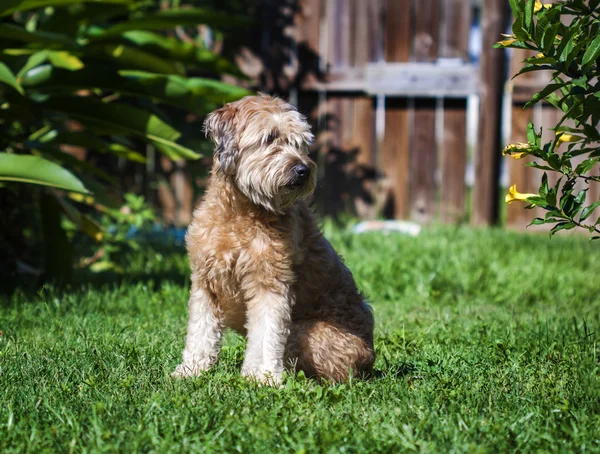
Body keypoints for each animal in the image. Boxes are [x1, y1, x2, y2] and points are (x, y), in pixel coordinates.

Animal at [171, 94, 372, 384]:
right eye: (270, 138)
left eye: (300, 143)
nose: (303, 169)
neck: (238, 213)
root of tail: (371, 360)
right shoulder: (205, 283)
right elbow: (200, 332)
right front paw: (190, 370)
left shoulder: (269, 282)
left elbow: (267, 335)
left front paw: (262, 378)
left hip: (306, 331)